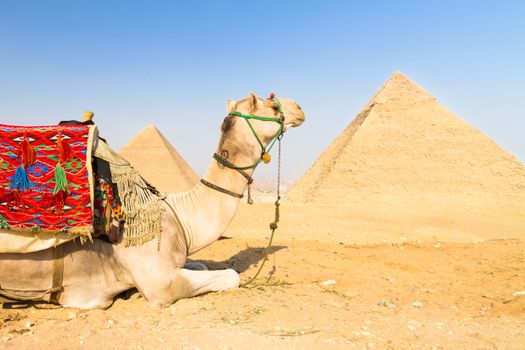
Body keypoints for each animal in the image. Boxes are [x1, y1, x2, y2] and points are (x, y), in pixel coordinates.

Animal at [0, 92, 304, 308]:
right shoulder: (160, 284)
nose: (299, 108)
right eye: (273, 106)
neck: (178, 214)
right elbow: (232, 275)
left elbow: (204, 264)